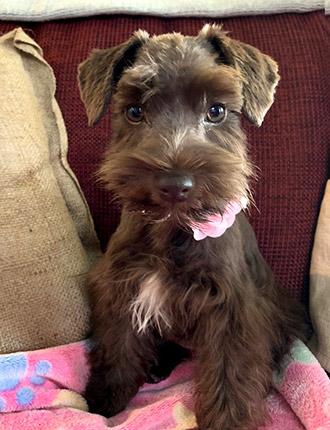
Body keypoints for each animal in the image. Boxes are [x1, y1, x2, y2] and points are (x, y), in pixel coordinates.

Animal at [77, 25, 304, 428]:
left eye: (216, 110)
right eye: (134, 111)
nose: (175, 184)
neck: (173, 231)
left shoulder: (232, 311)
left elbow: (231, 373)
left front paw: (229, 421)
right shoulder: (121, 287)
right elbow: (118, 344)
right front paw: (106, 398)